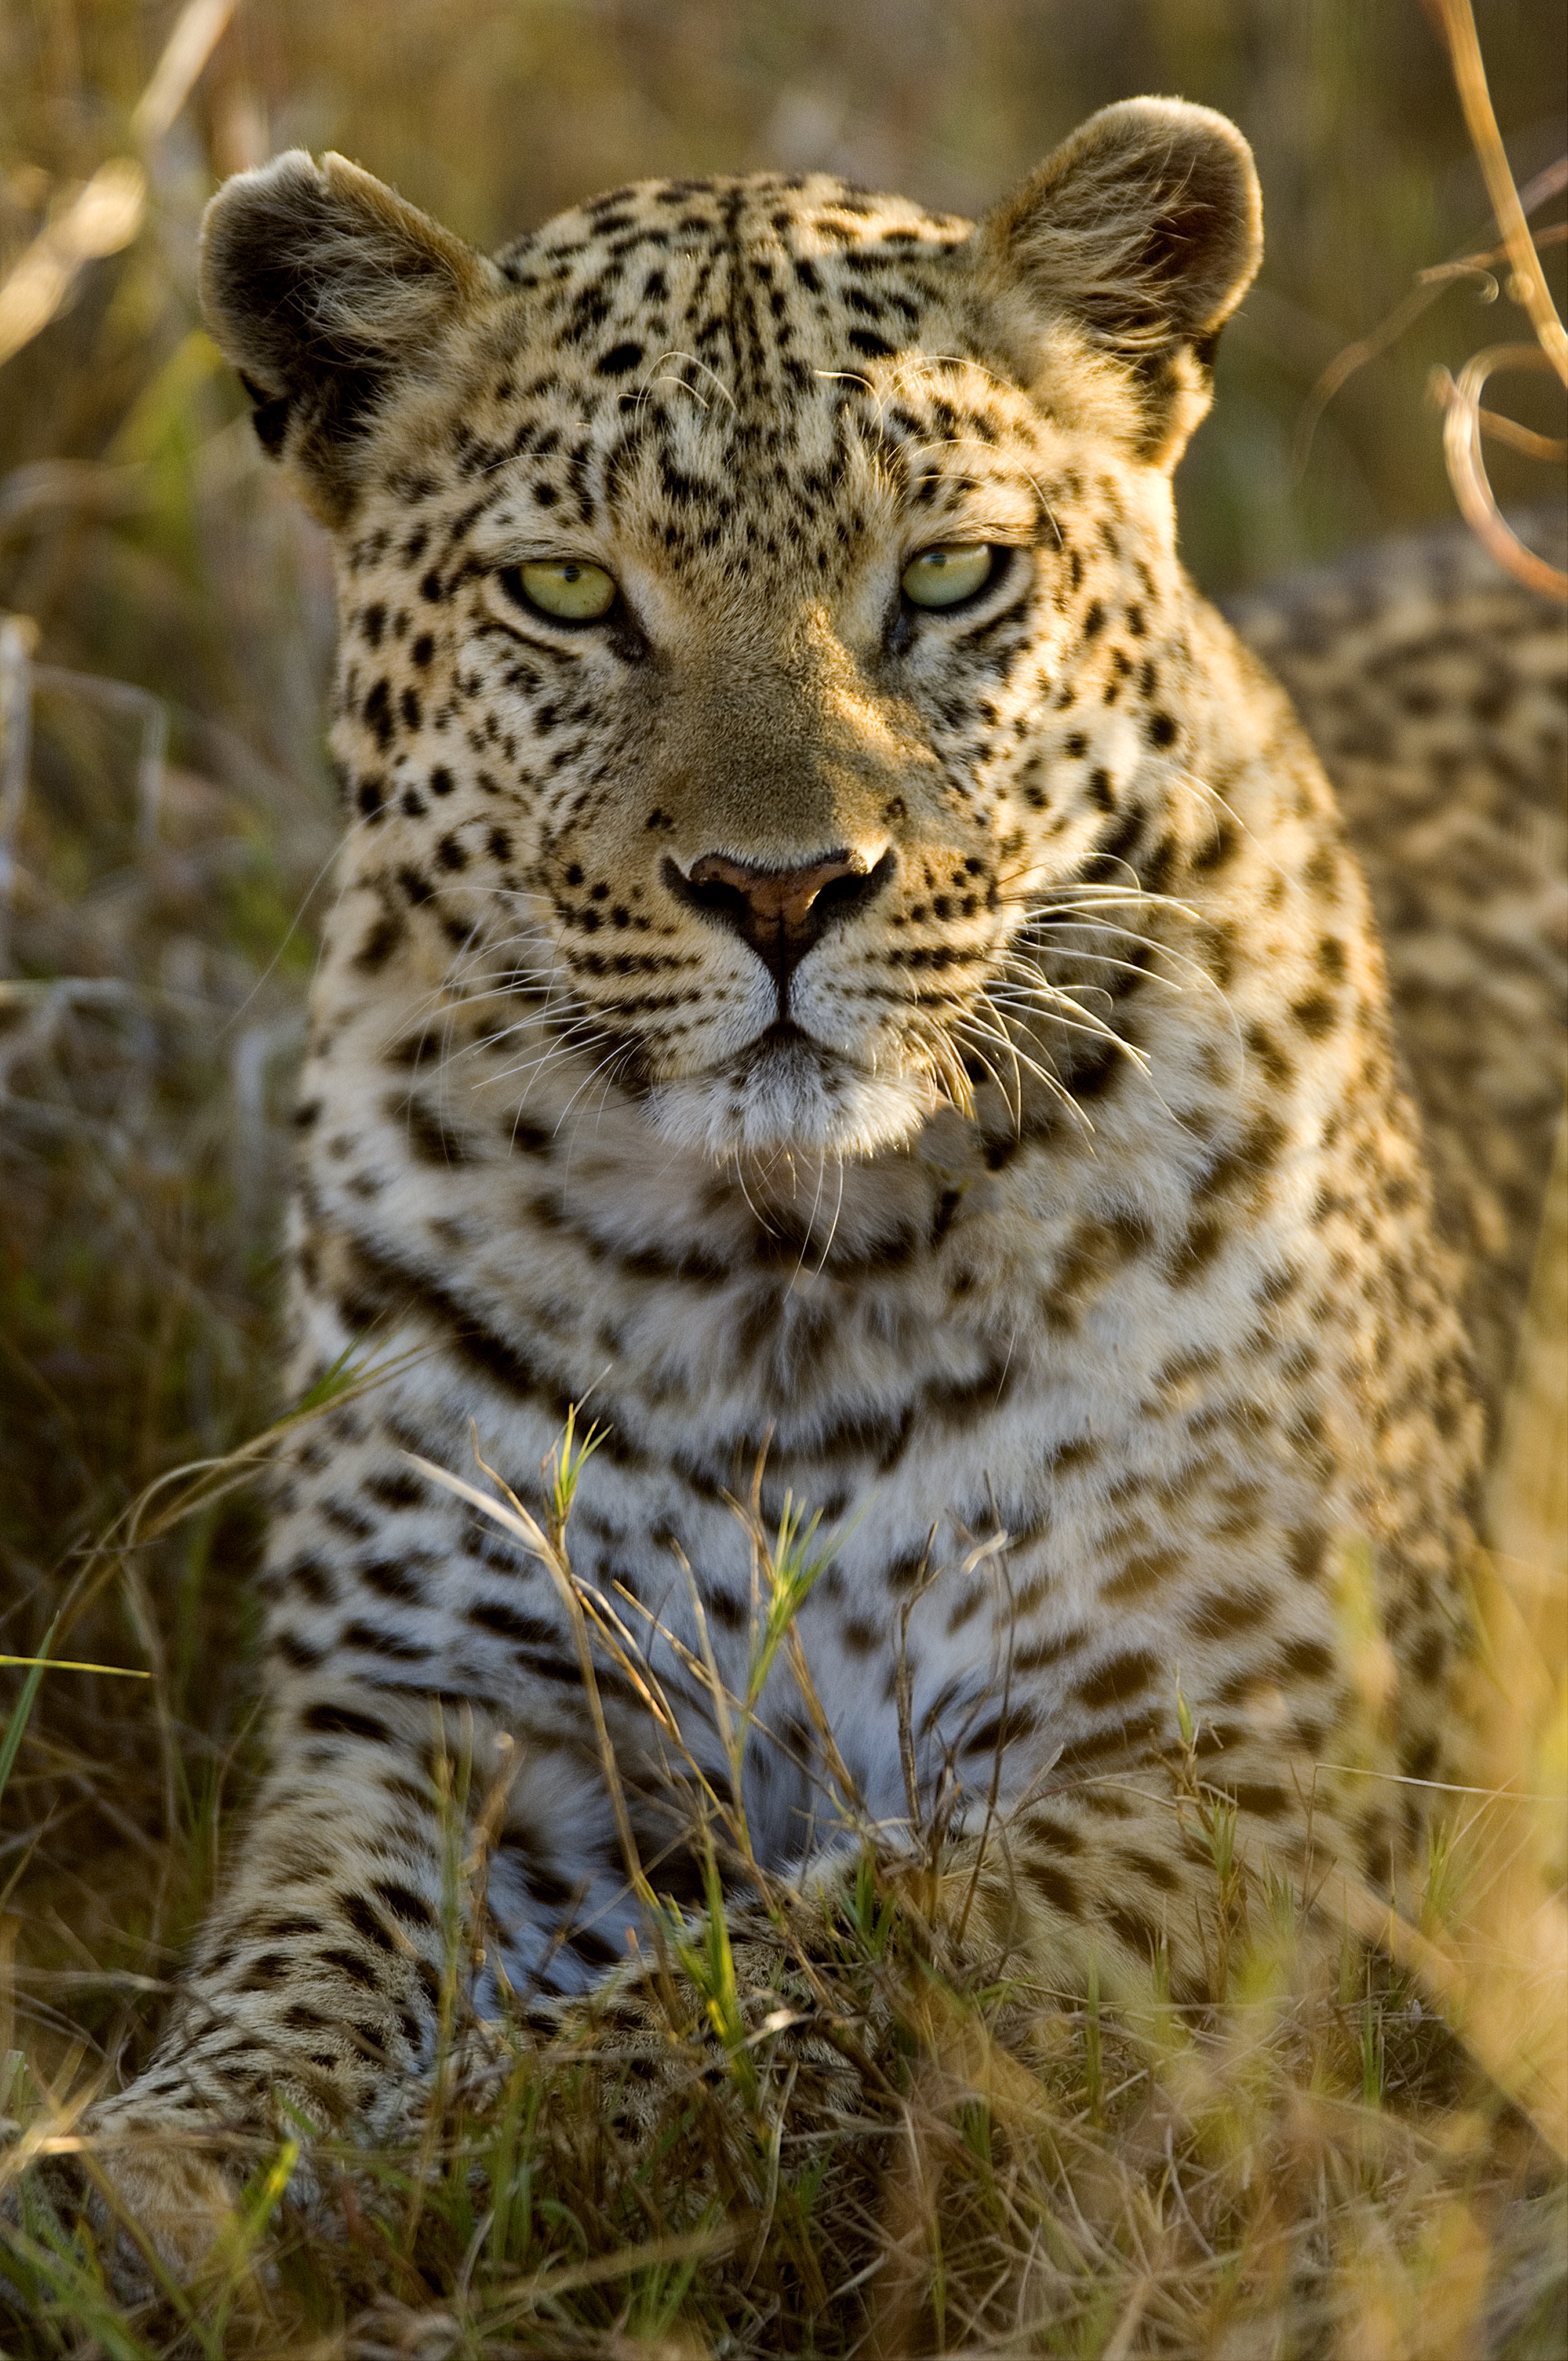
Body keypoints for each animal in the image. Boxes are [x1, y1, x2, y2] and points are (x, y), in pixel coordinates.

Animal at [80, 98, 1563, 2271]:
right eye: (565, 592)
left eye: (945, 576)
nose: (779, 890)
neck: (773, 1271)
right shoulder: (442, 1723)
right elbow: (289, 1962)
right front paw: (150, 2167)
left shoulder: (1218, 1768)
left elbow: (811, 1965)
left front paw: (427, 2160)